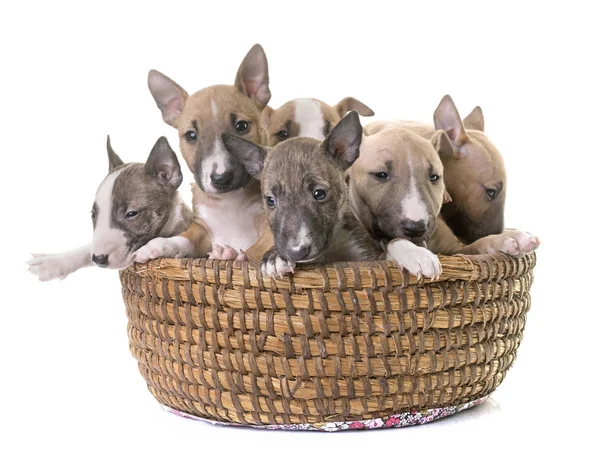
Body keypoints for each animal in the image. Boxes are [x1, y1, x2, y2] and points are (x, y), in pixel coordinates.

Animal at [135, 45, 272, 264]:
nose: (221, 178)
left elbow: (259, 248)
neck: (230, 203)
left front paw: (238, 256)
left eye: (242, 126)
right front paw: (157, 245)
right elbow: (185, 238)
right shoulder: (202, 228)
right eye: (191, 135)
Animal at [346, 128, 540, 280]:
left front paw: (512, 238)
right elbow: (393, 244)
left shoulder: (455, 251)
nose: (416, 228)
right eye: (381, 175)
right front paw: (416, 254)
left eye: (434, 177)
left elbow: (477, 245)